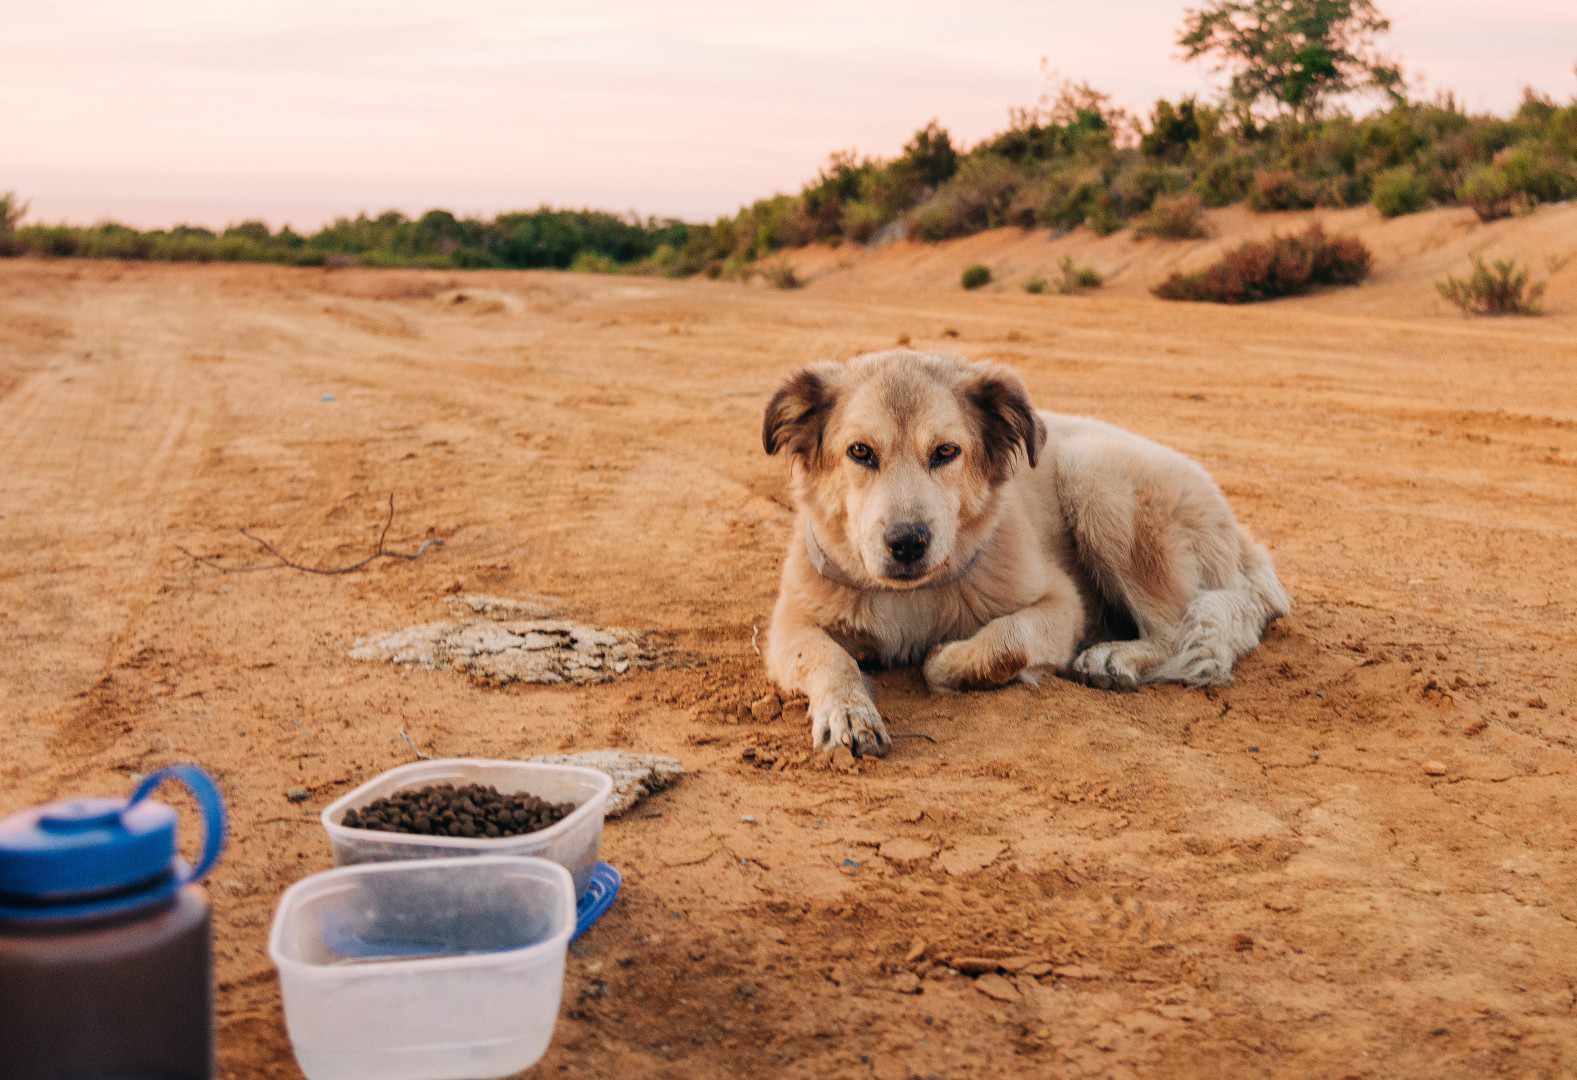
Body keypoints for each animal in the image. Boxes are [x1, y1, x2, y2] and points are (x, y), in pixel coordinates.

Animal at [756, 350, 1286, 753]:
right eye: (860, 452)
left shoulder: (1062, 604)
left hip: (1096, 478)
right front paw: (848, 712)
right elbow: (828, 658)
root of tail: (1246, 544)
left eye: (946, 452)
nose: (907, 543)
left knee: (1175, 631)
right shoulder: (791, 622)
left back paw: (1112, 658)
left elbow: (995, 645)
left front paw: (945, 658)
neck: (913, 595)